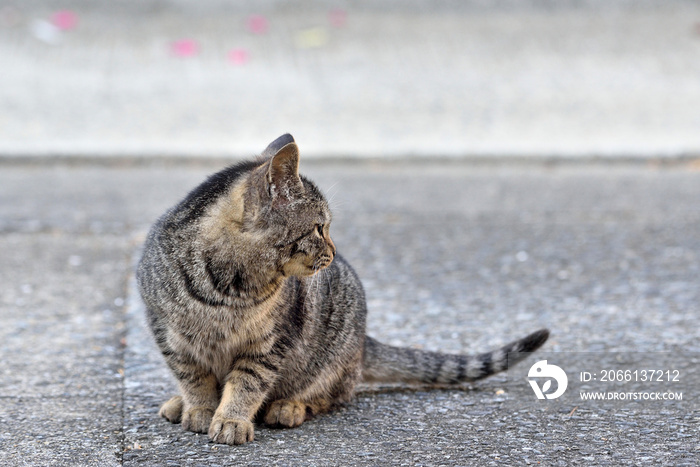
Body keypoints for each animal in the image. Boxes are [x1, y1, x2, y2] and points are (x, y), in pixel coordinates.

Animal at [137, 134, 548, 446]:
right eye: (320, 227)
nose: (334, 251)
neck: (227, 287)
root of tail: (363, 342)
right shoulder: (169, 335)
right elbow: (194, 378)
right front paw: (200, 409)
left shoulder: (272, 343)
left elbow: (248, 383)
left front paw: (231, 419)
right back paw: (179, 404)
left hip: (331, 356)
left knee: (333, 396)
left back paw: (289, 407)